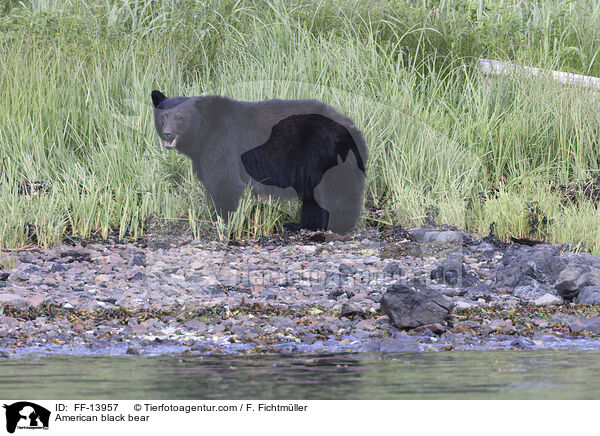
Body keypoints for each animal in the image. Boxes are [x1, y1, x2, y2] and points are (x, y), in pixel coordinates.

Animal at [151, 89, 366, 235]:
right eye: (164, 116)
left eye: (180, 117)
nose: (167, 133)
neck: (205, 131)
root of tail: (352, 126)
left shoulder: (223, 144)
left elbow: (225, 182)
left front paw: (227, 222)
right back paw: (302, 224)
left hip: (325, 153)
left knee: (337, 191)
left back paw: (336, 224)